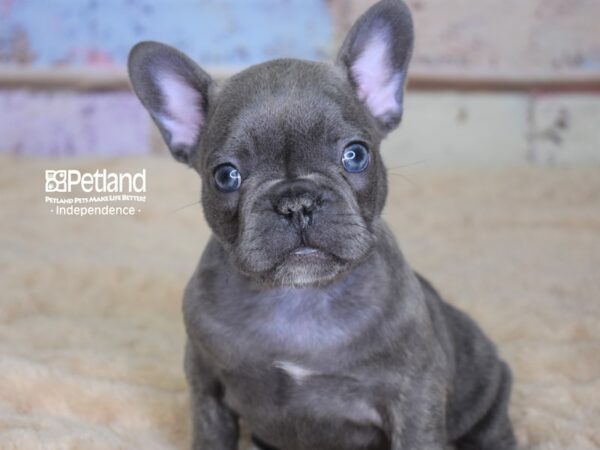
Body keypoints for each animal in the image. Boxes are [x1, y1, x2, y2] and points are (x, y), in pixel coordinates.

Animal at [129, 0, 516, 450]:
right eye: (225, 176)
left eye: (355, 155)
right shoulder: (206, 386)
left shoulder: (415, 396)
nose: (296, 201)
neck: (299, 297)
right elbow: (211, 436)